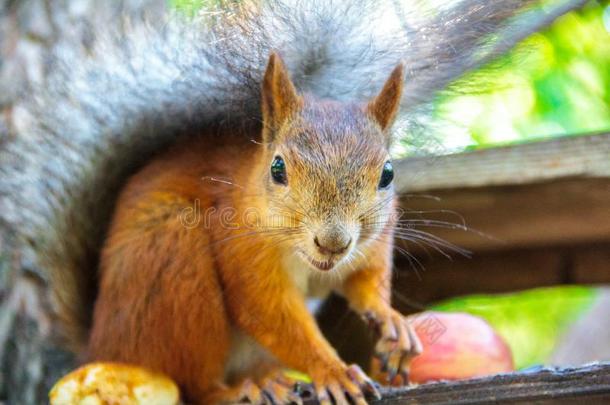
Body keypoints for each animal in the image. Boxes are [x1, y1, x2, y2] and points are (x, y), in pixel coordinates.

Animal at [0, 0, 580, 402]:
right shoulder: (244, 254)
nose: (333, 240)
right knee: (195, 382)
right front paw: (332, 370)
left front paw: (390, 321)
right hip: (173, 270)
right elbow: (274, 316)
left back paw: (269, 379)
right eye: (278, 169)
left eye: (388, 173)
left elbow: (363, 281)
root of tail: (102, 341)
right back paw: (240, 389)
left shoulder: (372, 242)